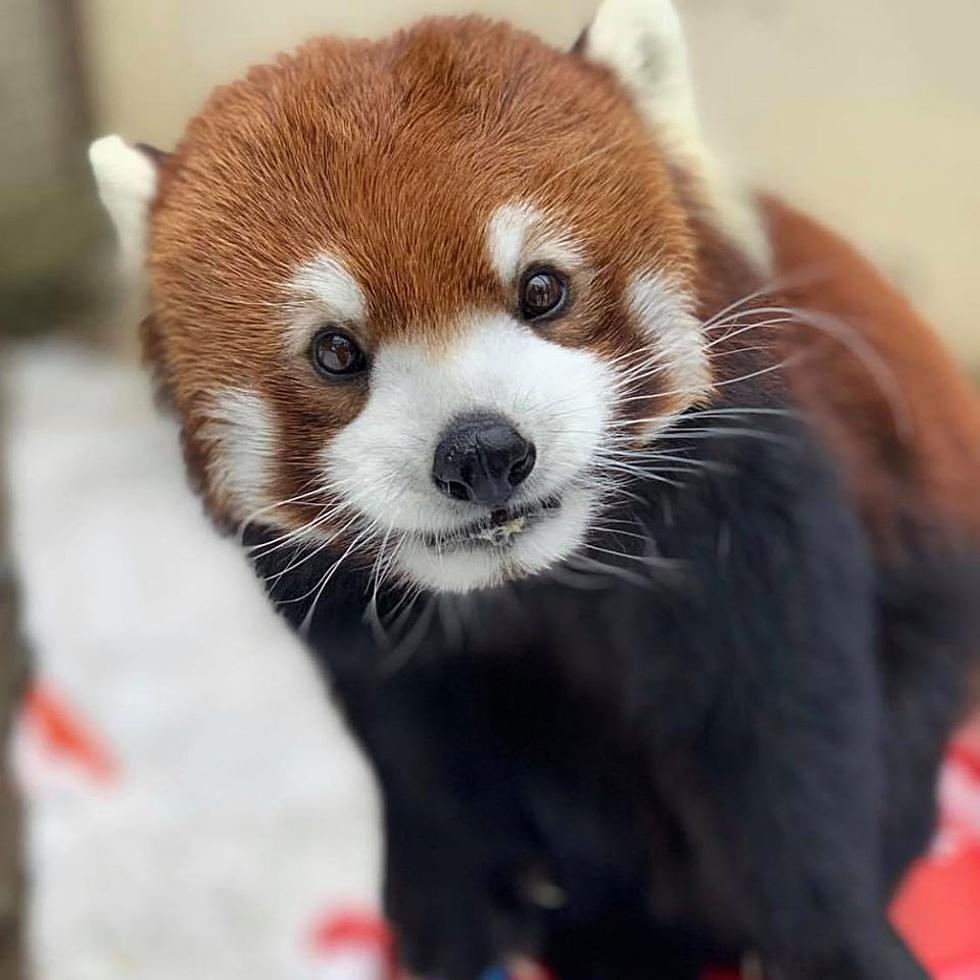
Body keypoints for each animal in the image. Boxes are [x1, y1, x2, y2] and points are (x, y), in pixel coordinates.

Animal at [88, 1, 976, 980]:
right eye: (336, 351)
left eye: (542, 289)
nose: (481, 453)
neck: (542, 585)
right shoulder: (369, 637)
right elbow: (416, 752)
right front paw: (450, 909)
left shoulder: (755, 514)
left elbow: (786, 740)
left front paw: (832, 941)